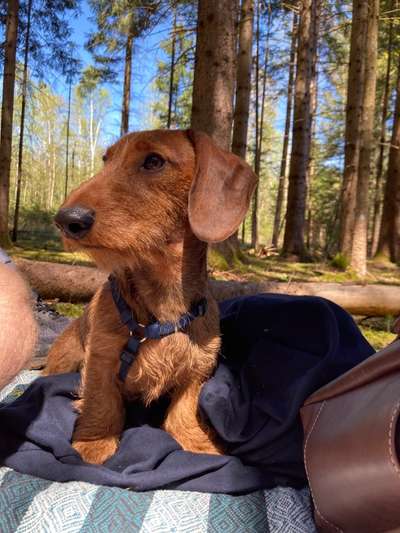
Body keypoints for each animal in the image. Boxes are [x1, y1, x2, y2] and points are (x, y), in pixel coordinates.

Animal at [43, 129, 256, 462]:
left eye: (154, 161)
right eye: (106, 160)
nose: (66, 219)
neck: (162, 305)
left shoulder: (200, 367)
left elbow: (184, 411)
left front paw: (197, 443)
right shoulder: (101, 357)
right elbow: (101, 401)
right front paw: (93, 444)